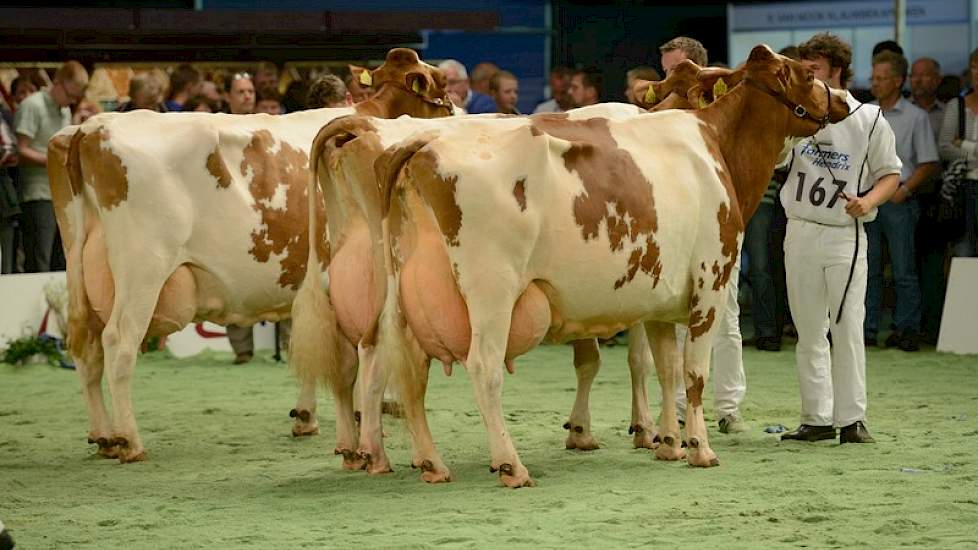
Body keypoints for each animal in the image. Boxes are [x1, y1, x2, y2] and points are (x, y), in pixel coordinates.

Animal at [46, 47, 454, 466]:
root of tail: (90, 128)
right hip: (142, 270)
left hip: (78, 272)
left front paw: (306, 416)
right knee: (119, 343)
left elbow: (305, 341)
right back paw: (129, 440)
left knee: (84, 344)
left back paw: (104, 436)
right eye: (442, 85)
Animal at [378, 46, 852, 488]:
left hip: (405, 299)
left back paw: (431, 463)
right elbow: (694, 374)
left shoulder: (660, 299)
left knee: (410, 374)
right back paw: (511, 465)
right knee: (484, 367)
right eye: (807, 73)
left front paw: (668, 444)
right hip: (491, 291)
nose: (846, 98)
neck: (717, 147)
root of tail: (426, 143)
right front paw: (699, 449)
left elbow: (666, 370)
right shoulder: (710, 285)